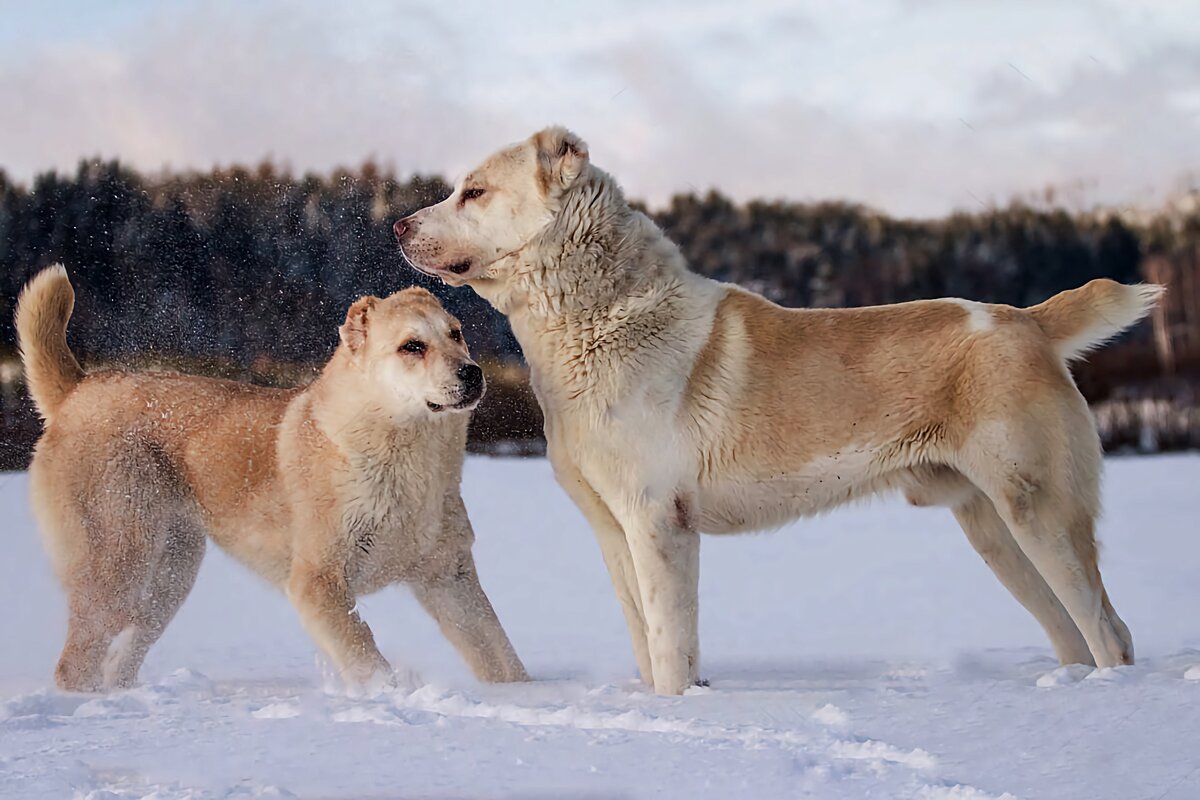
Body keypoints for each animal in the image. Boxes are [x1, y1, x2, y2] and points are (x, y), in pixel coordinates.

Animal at [12, 266, 530, 690]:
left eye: (456, 334)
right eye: (412, 347)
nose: (473, 373)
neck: (410, 462)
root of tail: (77, 391)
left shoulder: (450, 577)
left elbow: (502, 658)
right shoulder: (318, 582)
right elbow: (366, 656)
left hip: (168, 578)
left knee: (119, 659)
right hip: (119, 564)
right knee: (75, 664)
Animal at [398, 126, 1156, 695]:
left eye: (473, 190)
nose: (399, 223)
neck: (596, 322)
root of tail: (1027, 320)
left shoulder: (658, 521)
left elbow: (669, 649)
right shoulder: (614, 531)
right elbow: (651, 643)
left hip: (1040, 512)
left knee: (1110, 632)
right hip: (993, 530)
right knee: (1072, 632)